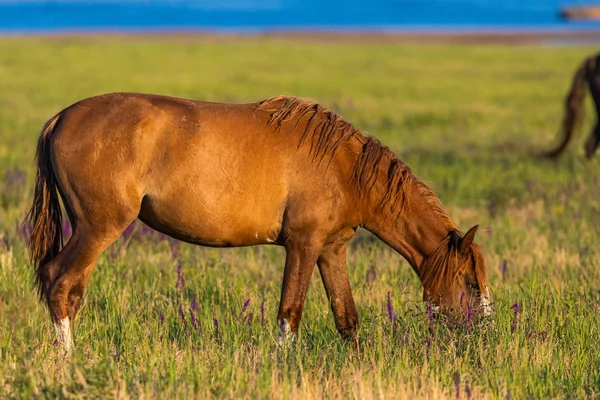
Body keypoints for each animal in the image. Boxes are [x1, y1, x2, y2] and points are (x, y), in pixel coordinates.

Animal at [28, 92, 490, 352]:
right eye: (471, 285)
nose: (483, 337)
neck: (344, 167)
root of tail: (61, 118)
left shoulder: (331, 250)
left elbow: (346, 319)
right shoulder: (303, 245)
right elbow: (290, 315)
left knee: (68, 289)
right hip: (98, 228)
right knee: (60, 282)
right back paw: (69, 363)